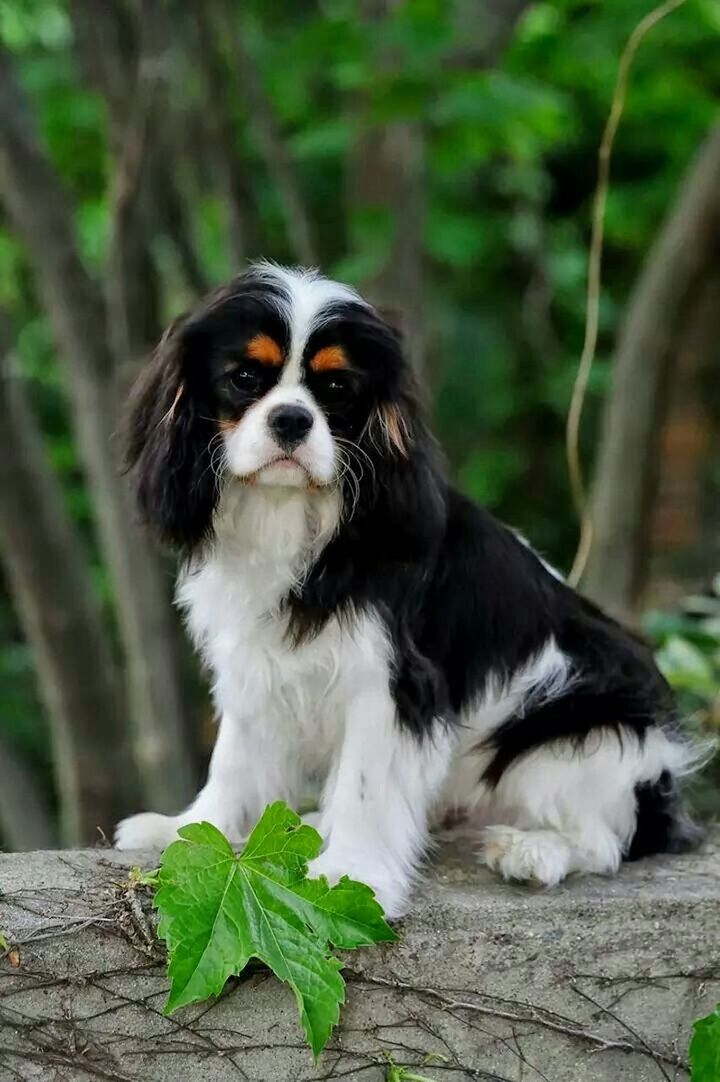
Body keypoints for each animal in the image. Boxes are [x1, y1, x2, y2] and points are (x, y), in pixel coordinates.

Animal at [113, 259, 701, 913]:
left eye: (336, 390)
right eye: (244, 379)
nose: (292, 418)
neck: (291, 518)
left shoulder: (392, 684)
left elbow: (367, 785)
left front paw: (352, 872)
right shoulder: (252, 664)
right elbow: (235, 760)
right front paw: (191, 828)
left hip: (577, 733)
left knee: (605, 839)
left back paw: (532, 849)